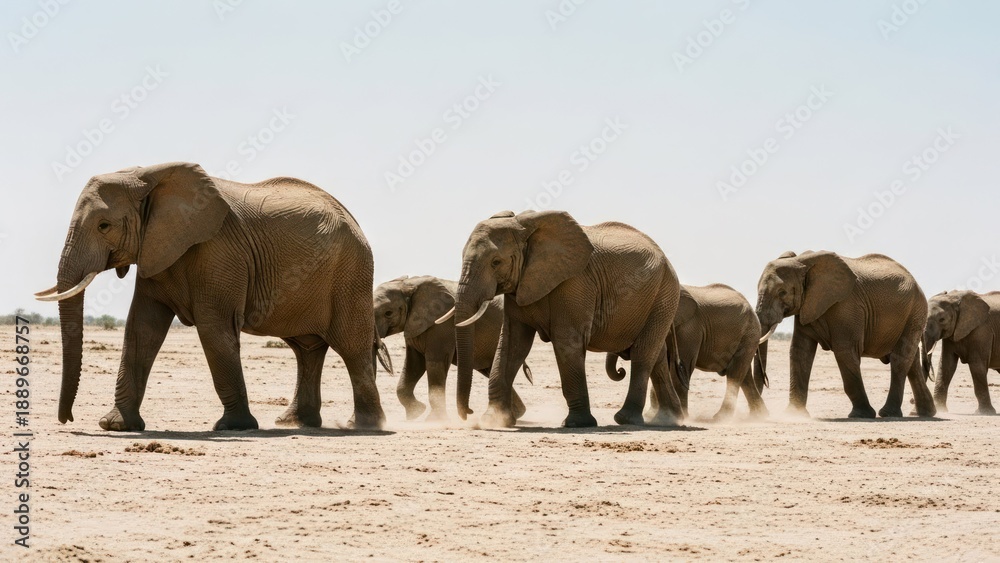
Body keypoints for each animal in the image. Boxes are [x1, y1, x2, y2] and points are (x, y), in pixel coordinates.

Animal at [36, 162, 385, 431]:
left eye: (104, 225)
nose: (67, 420)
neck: (149, 175)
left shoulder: (219, 252)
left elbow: (214, 328)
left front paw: (234, 427)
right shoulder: (156, 249)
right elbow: (141, 329)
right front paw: (116, 426)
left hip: (351, 273)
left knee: (352, 346)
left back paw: (365, 426)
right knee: (307, 349)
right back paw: (295, 423)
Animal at [373, 275, 532, 421]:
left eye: (388, 313)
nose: (470, 412)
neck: (408, 284)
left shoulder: (442, 326)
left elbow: (434, 364)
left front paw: (433, 420)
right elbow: (414, 365)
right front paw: (416, 414)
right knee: (489, 370)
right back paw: (515, 414)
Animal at [437, 210, 683, 429]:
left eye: (496, 262)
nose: (468, 413)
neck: (526, 227)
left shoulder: (575, 282)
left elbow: (567, 341)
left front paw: (577, 424)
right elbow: (512, 344)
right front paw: (493, 421)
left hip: (664, 294)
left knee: (643, 353)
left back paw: (627, 420)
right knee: (657, 356)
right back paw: (670, 419)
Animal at [606, 283, 769, 420]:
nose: (621, 371)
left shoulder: (690, 328)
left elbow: (680, 366)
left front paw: (682, 416)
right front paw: (652, 416)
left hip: (749, 334)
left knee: (735, 374)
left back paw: (720, 418)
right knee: (744, 376)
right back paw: (759, 416)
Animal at [755, 250, 935, 419]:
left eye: (782, 292)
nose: (766, 381)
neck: (803, 261)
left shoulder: (846, 307)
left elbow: (845, 351)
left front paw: (861, 415)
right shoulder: (807, 307)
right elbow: (800, 351)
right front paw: (794, 415)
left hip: (915, 311)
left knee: (900, 358)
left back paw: (889, 414)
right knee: (912, 362)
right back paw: (926, 413)